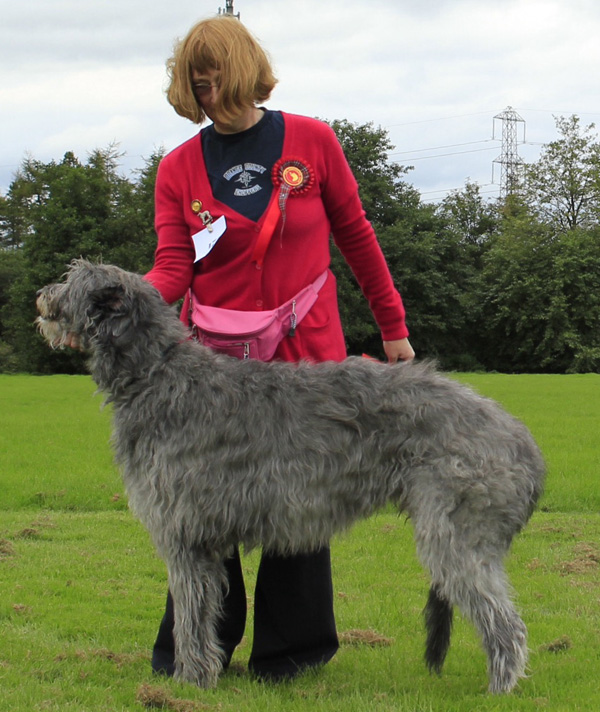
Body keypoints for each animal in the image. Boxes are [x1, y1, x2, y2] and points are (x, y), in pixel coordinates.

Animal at [35, 258, 548, 692]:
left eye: (71, 278)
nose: (41, 295)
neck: (157, 374)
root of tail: (523, 441)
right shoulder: (203, 542)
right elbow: (203, 612)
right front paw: (199, 675)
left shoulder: (183, 535)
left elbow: (189, 616)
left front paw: (188, 683)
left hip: (456, 534)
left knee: (506, 623)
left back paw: (500, 690)